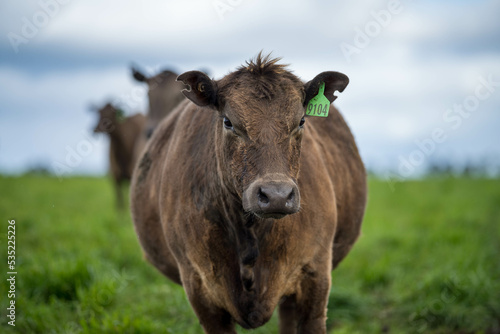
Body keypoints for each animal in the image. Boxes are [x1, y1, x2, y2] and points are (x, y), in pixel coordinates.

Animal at [129, 53, 368, 332]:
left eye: (301, 121)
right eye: (228, 121)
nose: (277, 195)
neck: (248, 232)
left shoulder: (316, 277)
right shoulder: (199, 287)